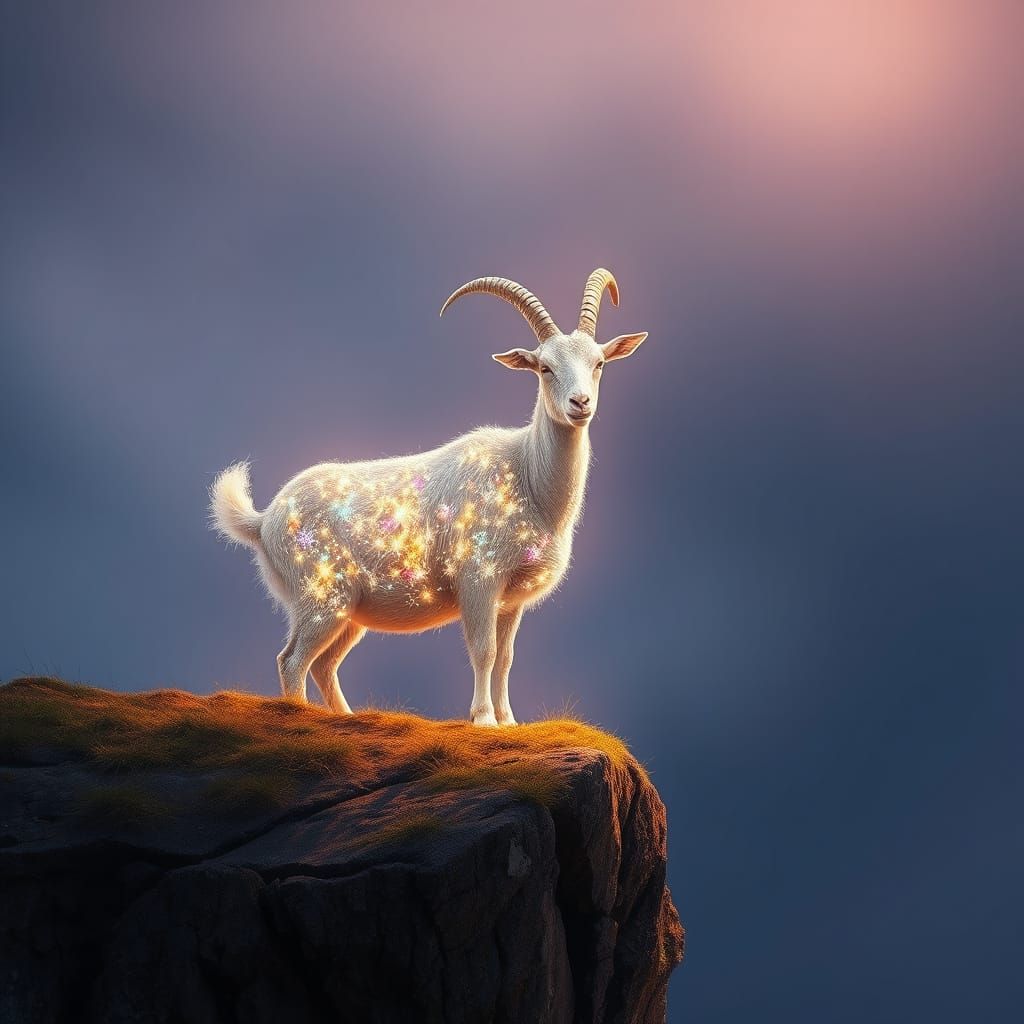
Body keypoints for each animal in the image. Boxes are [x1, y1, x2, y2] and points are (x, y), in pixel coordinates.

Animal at [210, 269, 648, 725]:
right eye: (544, 367)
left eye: (599, 363)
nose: (580, 403)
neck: (527, 475)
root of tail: (263, 520)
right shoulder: (478, 581)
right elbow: (484, 651)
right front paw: (484, 720)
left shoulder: (511, 600)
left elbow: (507, 656)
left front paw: (510, 721)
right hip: (321, 596)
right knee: (292, 660)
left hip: (347, 611)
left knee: (324, 664)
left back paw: (348, 718)